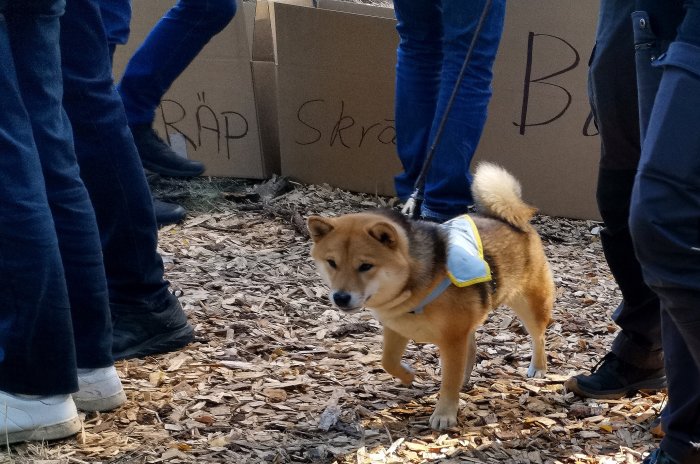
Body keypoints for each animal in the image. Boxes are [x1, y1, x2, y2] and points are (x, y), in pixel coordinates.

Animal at [306, 163, 552, 432]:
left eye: (365, 266)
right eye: (332, 263)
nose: (340, 297)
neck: (414, 287)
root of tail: (512, 218)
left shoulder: (452, 339)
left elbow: (448, 381)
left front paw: (444, 414)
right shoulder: (398, 327)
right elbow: (387, 361)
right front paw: (408, 375)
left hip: (529, 305)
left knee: (538, 338)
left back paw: (538, 367)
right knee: (472, 348)